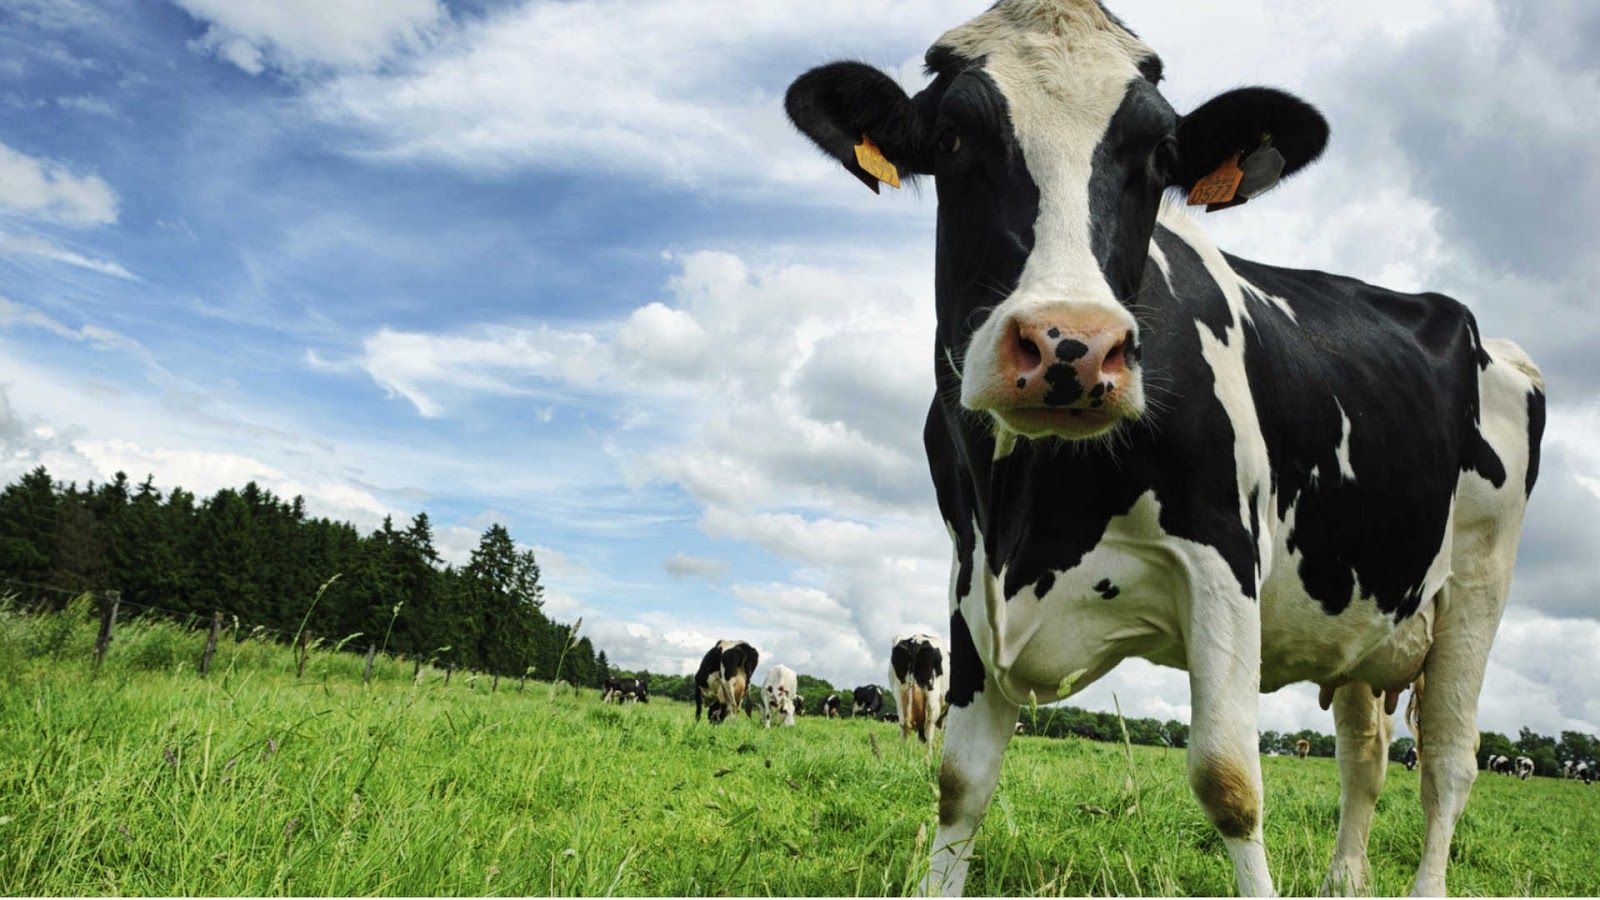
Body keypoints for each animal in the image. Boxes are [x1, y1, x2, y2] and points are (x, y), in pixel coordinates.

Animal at [784, 1, 1543, 895]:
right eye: (952, 138)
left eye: (1157, 153)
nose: (1071, 344)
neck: (1030, 510)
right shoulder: (970, 579)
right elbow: (960, 783)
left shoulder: (1222, 559)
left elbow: (1229, 782)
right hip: (1364, 611)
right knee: (1363, 761)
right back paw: (1344, 879)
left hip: (1477, 589)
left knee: (1448, 767)